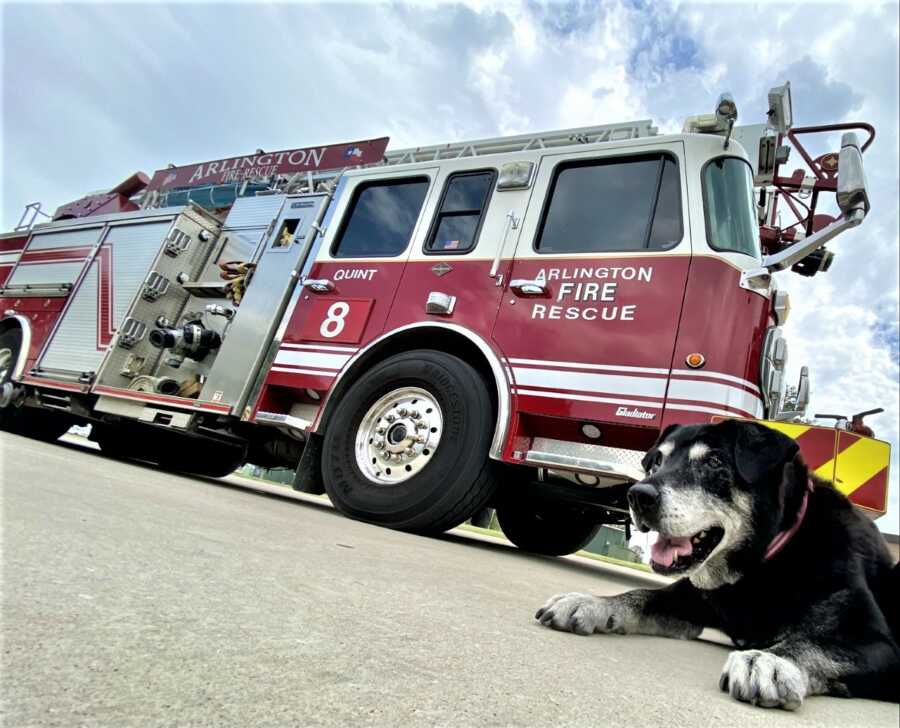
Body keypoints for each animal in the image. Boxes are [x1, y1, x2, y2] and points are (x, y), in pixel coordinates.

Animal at [536, 420, 896, 712]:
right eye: (657, 462)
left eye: (714, 461)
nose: (637, 495)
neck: (759, 568)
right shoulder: (691, 599)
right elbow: (639, 594)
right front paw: (590, 603)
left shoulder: (879, 644)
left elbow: (818, 644)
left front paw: (772, 660)